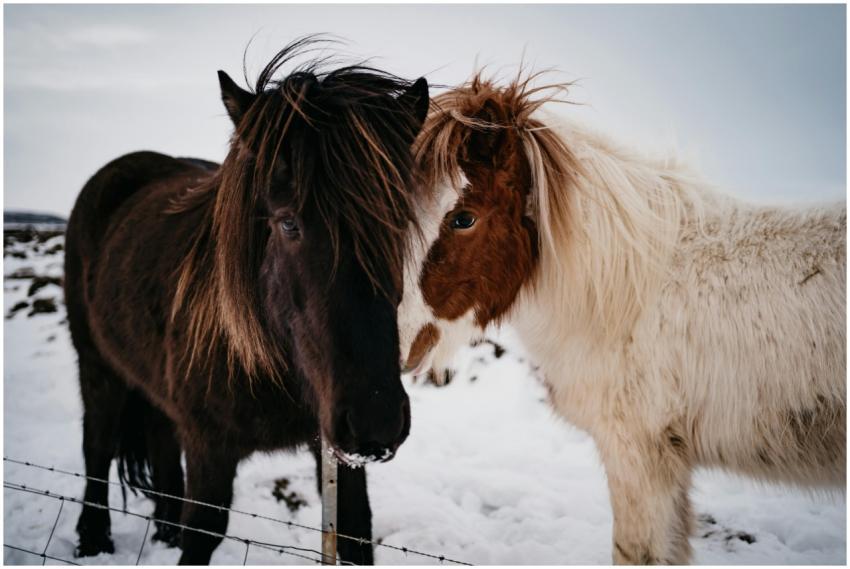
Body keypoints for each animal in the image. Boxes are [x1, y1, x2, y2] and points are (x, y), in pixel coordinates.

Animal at [64, 39, 429, 565]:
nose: (375, 419)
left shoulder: (335, 449)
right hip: (96, 365)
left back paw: (163, 529)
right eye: (287, 222)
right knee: (97, 447)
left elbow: (356, 531)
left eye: (398, 221)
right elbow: (203, 531)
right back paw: (93, 538)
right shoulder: (209, 447)